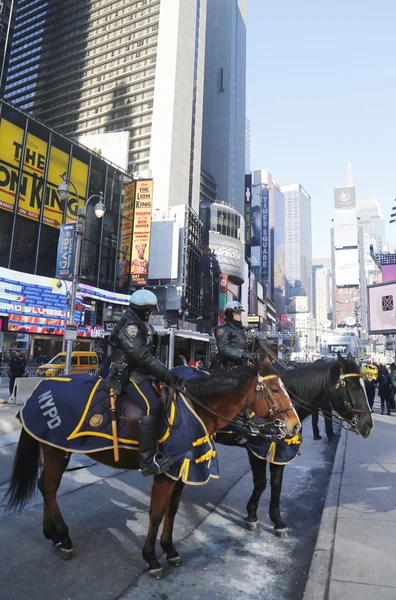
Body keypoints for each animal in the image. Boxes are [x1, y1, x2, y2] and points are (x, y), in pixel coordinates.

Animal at [5, 358, 300, 580]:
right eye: (275, 390)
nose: (295, 425)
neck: (196, 408)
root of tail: (40, 389)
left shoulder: (183, 469)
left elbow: (172, 510)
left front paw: (170, 550)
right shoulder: (166, 472)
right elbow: (156, 513)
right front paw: (151, 558)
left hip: (55, 447)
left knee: (46, 486)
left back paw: (53, 534)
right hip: (55, 448)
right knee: (49, 487)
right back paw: (64, 539)